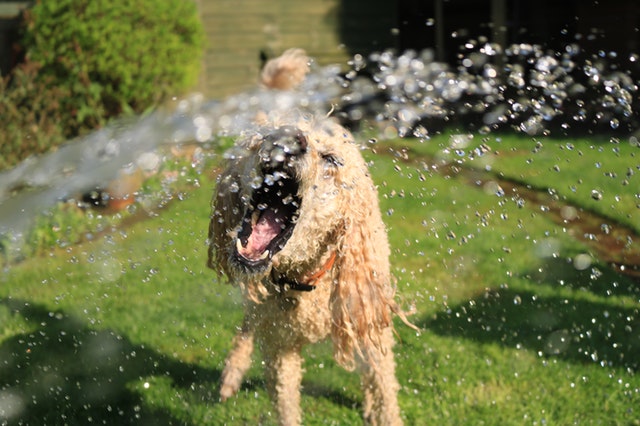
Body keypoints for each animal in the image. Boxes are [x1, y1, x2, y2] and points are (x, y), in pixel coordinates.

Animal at [206, 49, 416, 422]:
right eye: (259, 140)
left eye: (331, 159)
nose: (287, 139)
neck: (306, 279)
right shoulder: (280, 349)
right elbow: (286, 404)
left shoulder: (370, 321)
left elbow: (383, 389)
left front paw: (380, 409)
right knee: (248, 324)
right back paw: (232, 373)